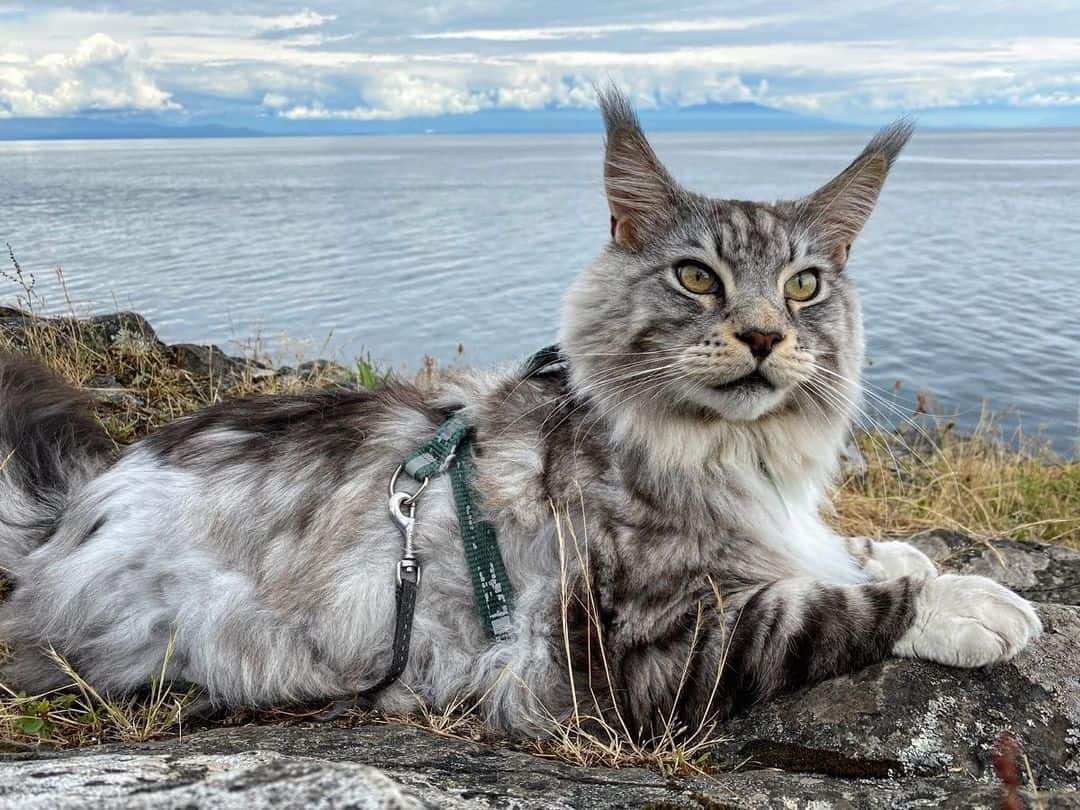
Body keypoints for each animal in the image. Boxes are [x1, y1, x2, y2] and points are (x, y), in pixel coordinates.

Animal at [2, 90, 1045, 743]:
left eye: (803, 287)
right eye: (696, 277)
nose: (761, 336)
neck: (726, 454)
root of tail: (74, 508)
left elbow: (842, 552)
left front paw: (904, 552)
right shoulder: (643, 649)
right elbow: (829, 605)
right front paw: (970, 604)